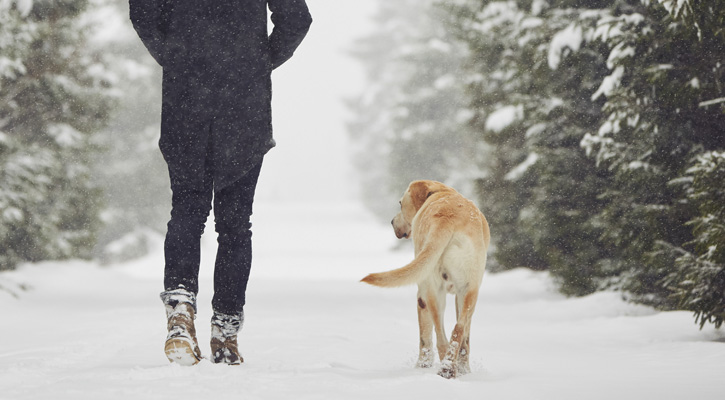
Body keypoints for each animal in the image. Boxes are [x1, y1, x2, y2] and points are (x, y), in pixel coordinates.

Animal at [360, 180, 490, 378]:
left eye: (400, 203)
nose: (391, 221)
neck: (440, 193)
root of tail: (447, 218)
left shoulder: (422, 296)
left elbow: (424, 337)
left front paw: (422, 365)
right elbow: (464, 337)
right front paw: (464, 370)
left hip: (432, 291)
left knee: (440, 336)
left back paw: (445, 368)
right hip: (468, 290)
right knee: (458, 331)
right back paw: (449, 369)